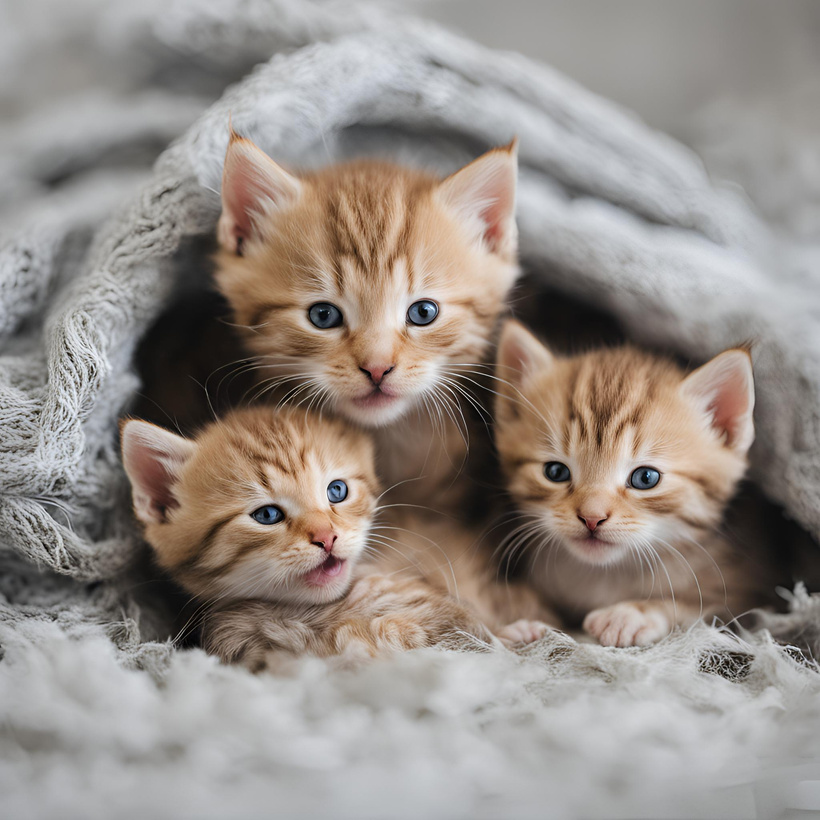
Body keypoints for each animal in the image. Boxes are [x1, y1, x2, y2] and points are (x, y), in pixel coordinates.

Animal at [494, 320, 776, 648]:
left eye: (645, 478)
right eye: (555, 472)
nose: (591, 517)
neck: (607, 574)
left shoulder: (748, 599)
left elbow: (699, 610)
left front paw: (633, 614)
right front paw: (523, 625)